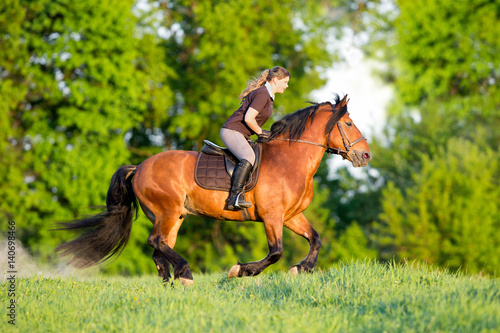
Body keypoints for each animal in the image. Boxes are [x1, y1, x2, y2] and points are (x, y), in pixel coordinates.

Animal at [56, 94, 372, 286]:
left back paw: (170, 283)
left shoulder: (291, 216)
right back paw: (185, 274)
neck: (290, 160)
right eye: (348, 123)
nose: (366, 155)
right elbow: (275, 252)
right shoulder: (272, 216)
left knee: (160, 248)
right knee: (156, 242)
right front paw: (240, 271)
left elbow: (315, 240)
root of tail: (141, 166)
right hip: (167, 211)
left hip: (174, 216)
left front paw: (301, 269)